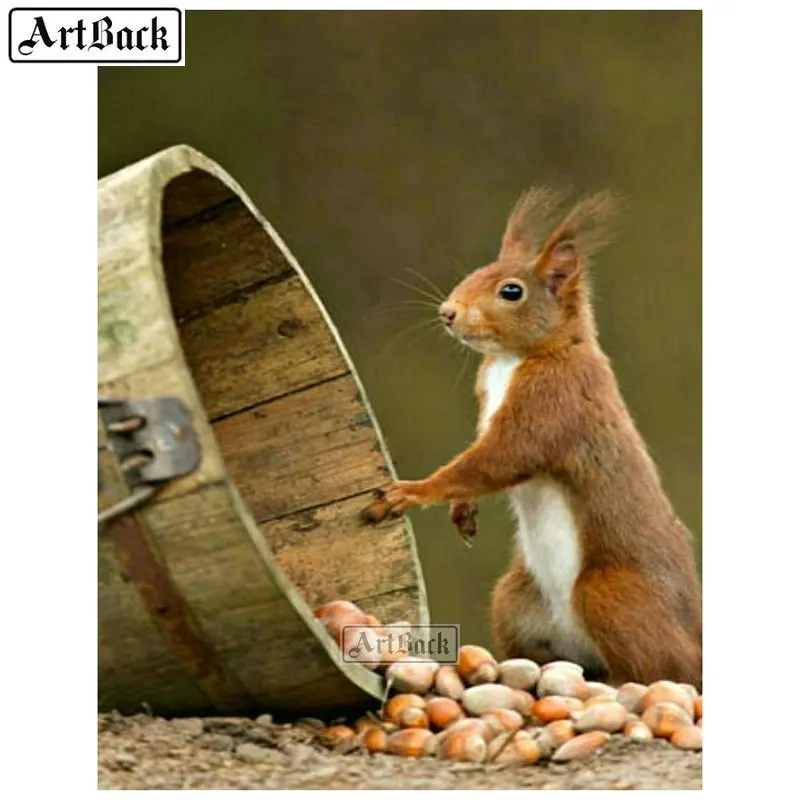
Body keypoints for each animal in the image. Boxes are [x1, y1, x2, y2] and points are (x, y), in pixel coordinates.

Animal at [362, 187, 702, 687]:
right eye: (475, 272)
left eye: (511, 291)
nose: (447, 313)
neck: (514, 358)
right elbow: (477, 462)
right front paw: (461, 511)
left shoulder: (550, 404)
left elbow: (493, 461)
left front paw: (411, 491)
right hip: (514, 599)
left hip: (610, 594)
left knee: (661, 671)